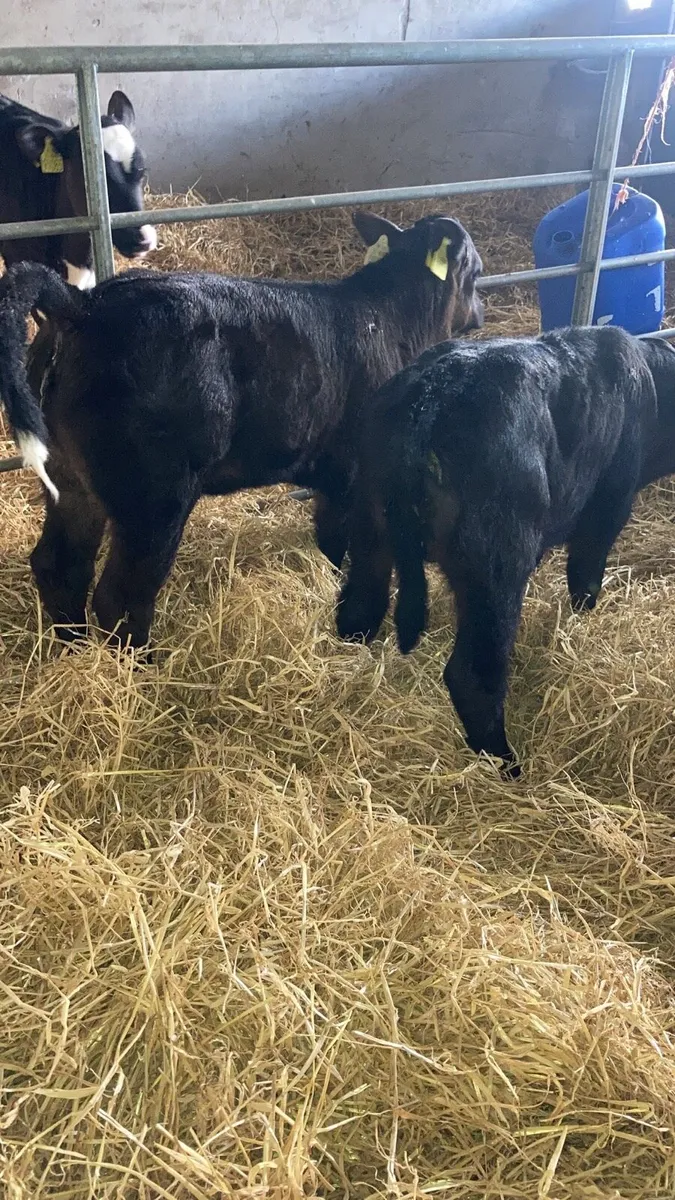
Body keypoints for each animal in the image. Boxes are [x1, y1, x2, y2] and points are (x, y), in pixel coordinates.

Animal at [0, 211, 483, 647]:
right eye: (476, 273)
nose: (480, 313)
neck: (389, 320)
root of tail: (83, 305)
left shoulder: (330, 473)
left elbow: (328, 541)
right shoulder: (354, 473)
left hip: (71, 479)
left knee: (60, 567)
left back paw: (74, 646)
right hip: (153, 496)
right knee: (120, 595)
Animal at [335, 326, 675, 777]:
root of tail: (429, 401)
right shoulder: (608, 506)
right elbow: (585, 575)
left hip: (368, 531)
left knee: (358, 612)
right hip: (497, 563)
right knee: (474, 674)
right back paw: (505, 761)